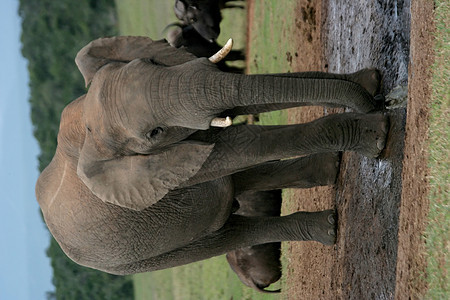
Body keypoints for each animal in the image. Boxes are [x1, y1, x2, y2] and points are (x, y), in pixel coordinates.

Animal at [35, 36, 388, 276]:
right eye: (154, 133)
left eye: (150, 63)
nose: (375, 102)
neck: (87, 129)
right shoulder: (165, 166)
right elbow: (241, 142)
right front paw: (377, 134)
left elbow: (245, 98)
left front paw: (368, 82)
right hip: (136, 259)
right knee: (232, 234)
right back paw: (328, 227)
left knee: (234, 185)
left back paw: (330, 170)